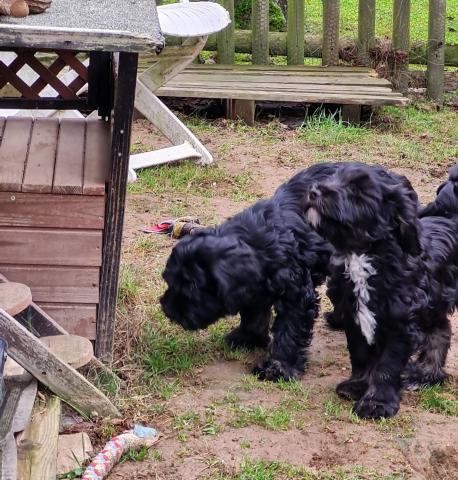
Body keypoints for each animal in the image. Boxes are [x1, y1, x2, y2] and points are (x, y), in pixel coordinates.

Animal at [161, 163, 336, 380]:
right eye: (169, 281)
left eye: (191, 290)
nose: (168, 309)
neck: (258, 243)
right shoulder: (254, 288)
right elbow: (254, 316)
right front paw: (248, 338)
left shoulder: (297, 296)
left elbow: (289, 331)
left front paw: (278, 368)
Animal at [302, 163, 456, 418]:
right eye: (333, 178)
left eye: (357, 191)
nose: (313, 191)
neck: (363, 255)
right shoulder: (354, 316)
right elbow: (361, 355)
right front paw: (357, 386)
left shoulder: (401, 325)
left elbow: (386, 366)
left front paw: (377, 403)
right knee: (441, 328)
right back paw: (425, 372)